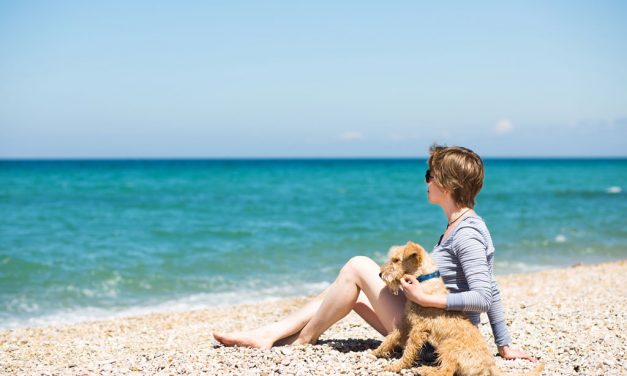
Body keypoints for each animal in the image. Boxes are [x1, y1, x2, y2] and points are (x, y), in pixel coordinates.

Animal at [370, 242, 544, 374]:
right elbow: (391, 337)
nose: (379, 274)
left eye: (396, 260)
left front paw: (396, 366)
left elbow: (409, 350)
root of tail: (490, 365)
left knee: (447, 371)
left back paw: (425, 370)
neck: (424, 281)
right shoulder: (406, 323)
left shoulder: (418, 329)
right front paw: (376, 351)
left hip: (447, 346)